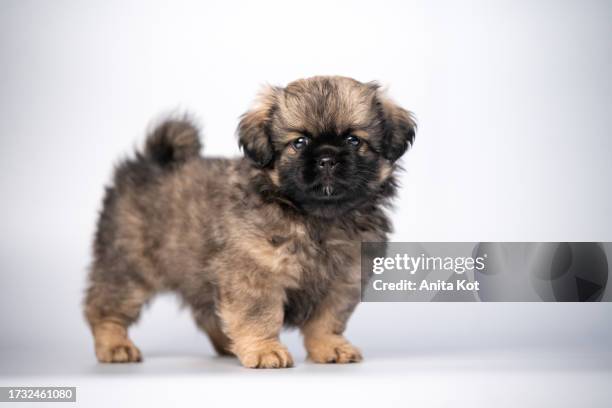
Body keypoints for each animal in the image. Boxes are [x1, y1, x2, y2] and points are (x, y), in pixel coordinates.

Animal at [83, 75, 416, 368]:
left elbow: (326, 320)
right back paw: (115, 345)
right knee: (104, 309)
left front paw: (329, 346)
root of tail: (147, 163)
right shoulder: (255, 273)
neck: (317, 217)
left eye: (352, 140)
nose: (327, 158)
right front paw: (264, 350)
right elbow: (259, 316)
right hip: (129, 269)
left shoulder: (341, 280)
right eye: (299, 142)